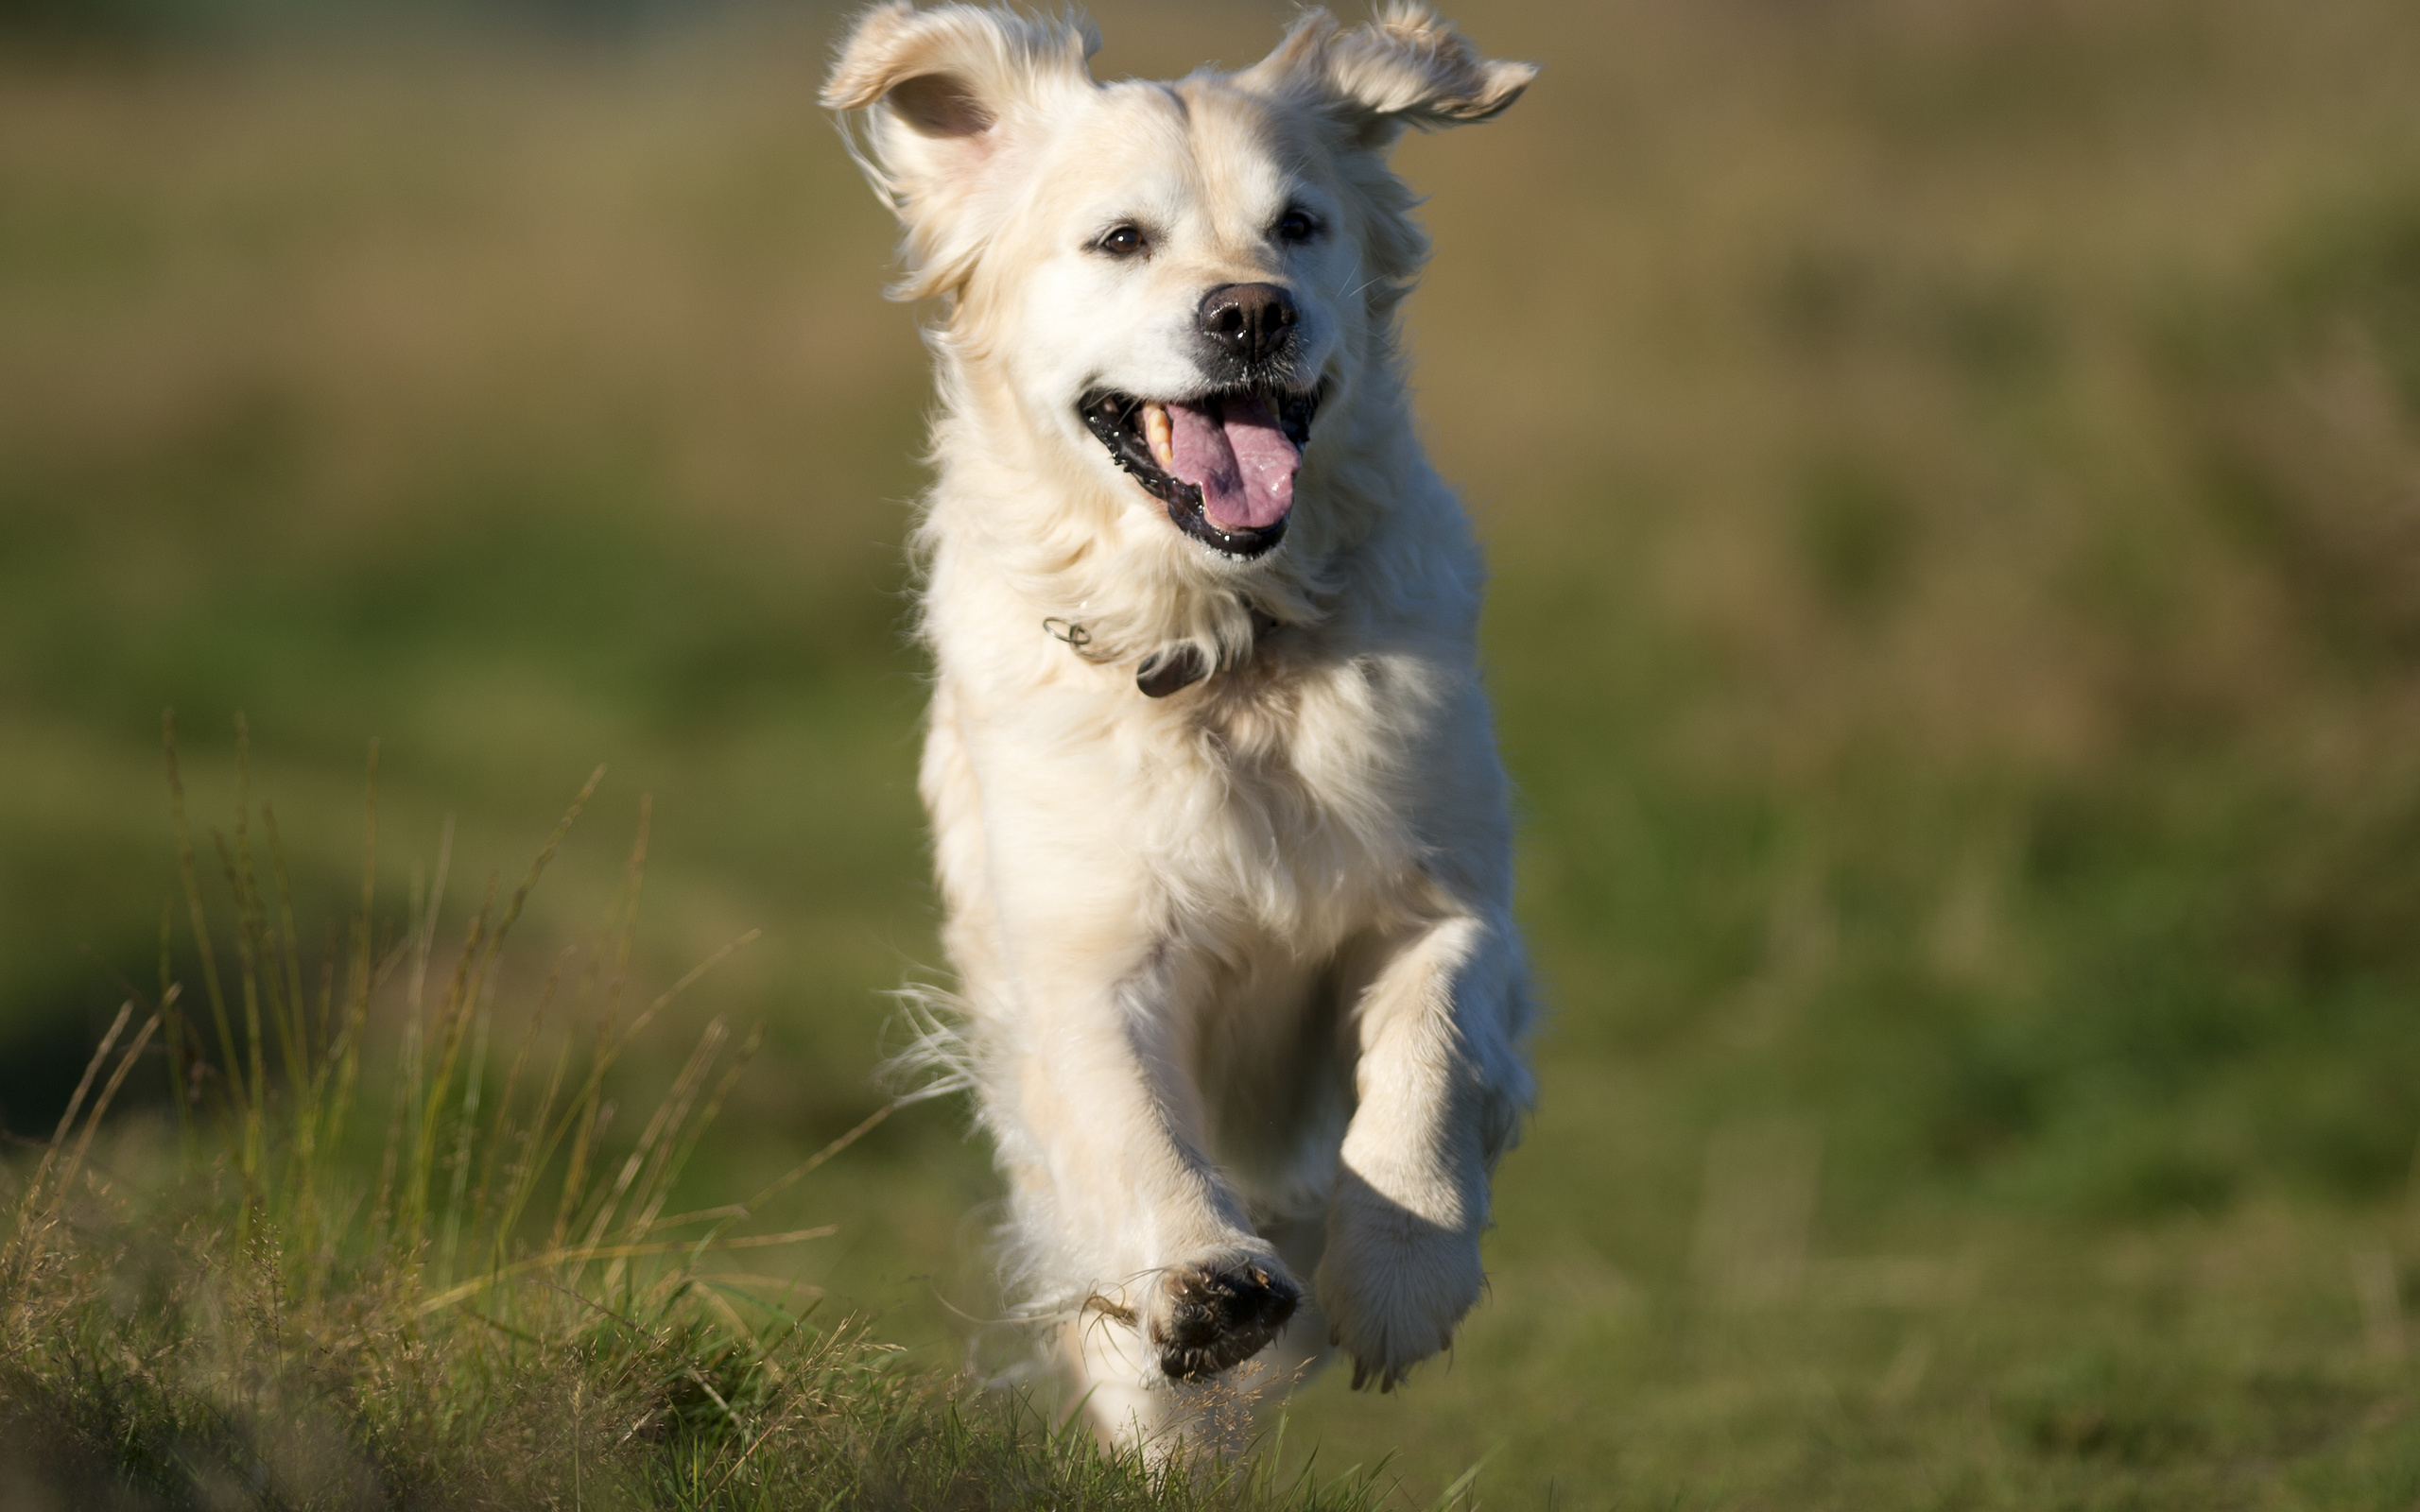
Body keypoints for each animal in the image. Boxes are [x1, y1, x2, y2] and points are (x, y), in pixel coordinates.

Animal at [822, 0, 1539, 1441]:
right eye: (1120, 240)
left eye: (1300, 225)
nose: (1253, 312)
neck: (1224, 649)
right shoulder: (1083, 955)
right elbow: (1130, 1120)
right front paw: (1205, 1280)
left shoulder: (1451, 895)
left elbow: (1433, 1045)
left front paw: (1404, 1270)